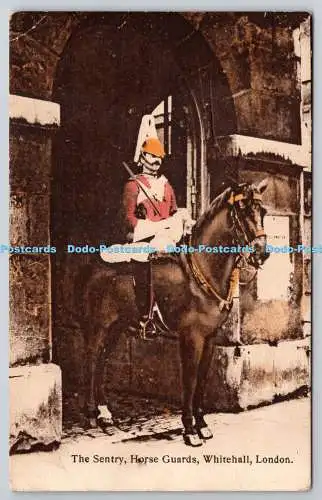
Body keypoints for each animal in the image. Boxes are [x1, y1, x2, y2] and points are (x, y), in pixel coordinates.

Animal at [76, 180, 268, 446]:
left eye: (263, 211)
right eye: (242, 209)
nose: (262, 252)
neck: (203, 268)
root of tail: (91, 264)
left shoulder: (210, 338)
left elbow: (201, 381)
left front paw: (202, 424)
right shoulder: (191, 338)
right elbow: (189, 379)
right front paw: (189, 429)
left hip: (116, 328)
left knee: (102, 362)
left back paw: (105, 413)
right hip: (98, 328)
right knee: (92, 361)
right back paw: (91, 414)